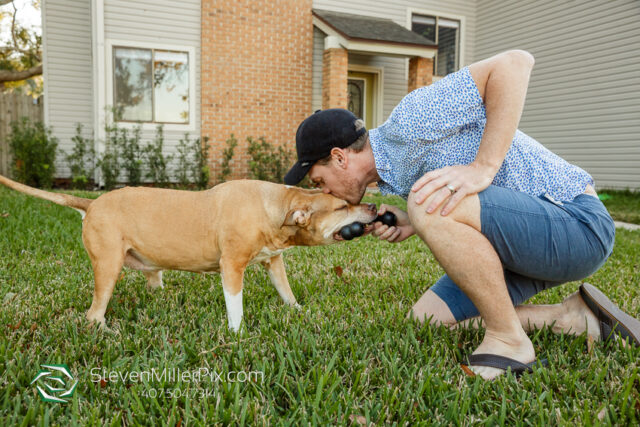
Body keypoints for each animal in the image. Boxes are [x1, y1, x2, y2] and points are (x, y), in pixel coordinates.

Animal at [0, 176, 378, 332]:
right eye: (342, 206)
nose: (374, 206)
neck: (277, 205)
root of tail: (91, 203)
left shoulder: (274, 261)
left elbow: (286, 291)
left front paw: (298, 310)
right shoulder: (232, 267)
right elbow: (235, 305)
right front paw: (238, 334)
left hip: (147, 269)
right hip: (108, 266)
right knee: (94, 313)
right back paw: (106, 331)